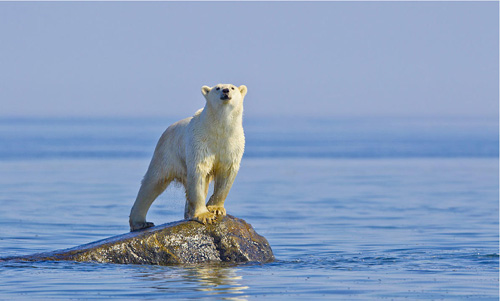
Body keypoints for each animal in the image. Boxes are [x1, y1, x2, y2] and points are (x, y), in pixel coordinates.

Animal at [128, 83, 247, 231]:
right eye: (217, 88)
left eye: (232, 88)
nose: (225, 91)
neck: (220, 130)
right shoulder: (200, 143)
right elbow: (198, 173)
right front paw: (204, 215)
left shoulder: (232, 145)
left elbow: (227, 173)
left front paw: (215, 208)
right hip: (166, 154)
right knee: (153, 182)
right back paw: (141, 222)